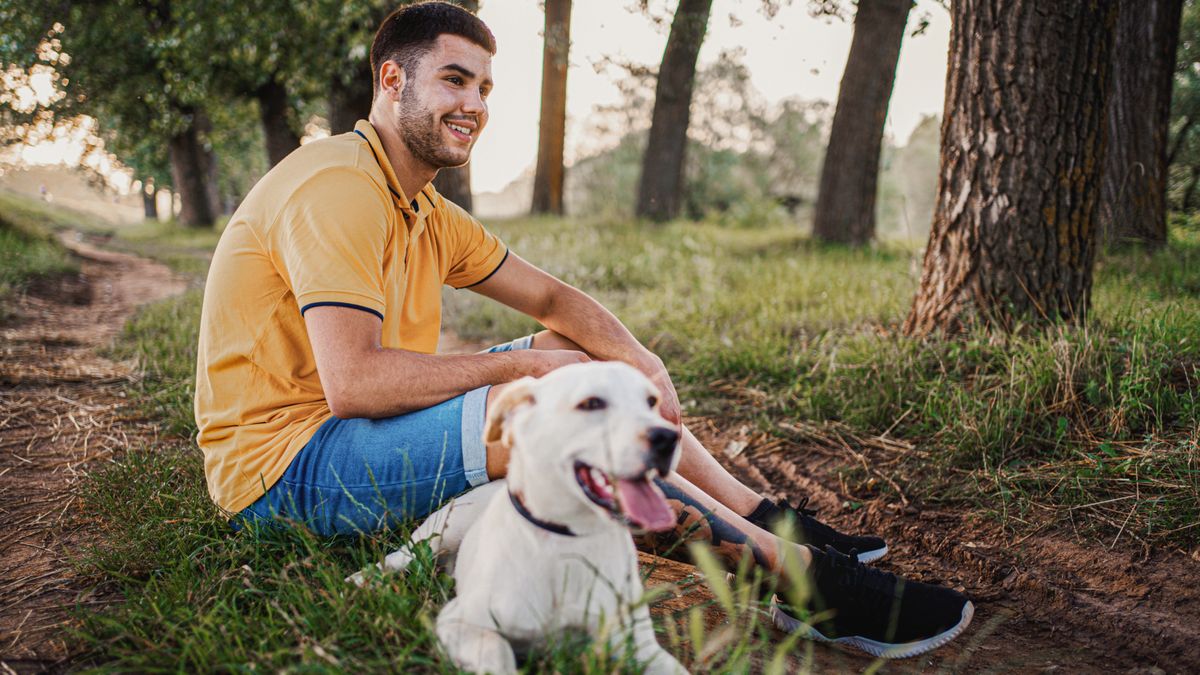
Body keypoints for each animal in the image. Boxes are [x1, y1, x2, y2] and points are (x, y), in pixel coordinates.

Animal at [350, 362, 686, 672]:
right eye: (592, 403)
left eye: (651, 402)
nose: (668, 438)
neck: (567, 539)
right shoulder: (459, 622)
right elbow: (497, 651)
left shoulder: (638, 645)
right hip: (443, 530)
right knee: (403, 554)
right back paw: (363, 579)